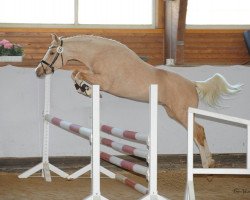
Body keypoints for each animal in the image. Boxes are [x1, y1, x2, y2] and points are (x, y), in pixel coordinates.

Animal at [35, 34, 242, 169]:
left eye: (51, 51)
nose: (38, 71)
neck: (101, 53)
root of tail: (193, 84)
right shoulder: (96, 77)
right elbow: (75, 73)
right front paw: (85, 90)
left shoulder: (105, 81)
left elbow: (78, 73)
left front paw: (86, 90)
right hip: (173, 113)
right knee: (198, 132)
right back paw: (208, 162)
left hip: (182, 113)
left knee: (198, 131)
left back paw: (208, 163)